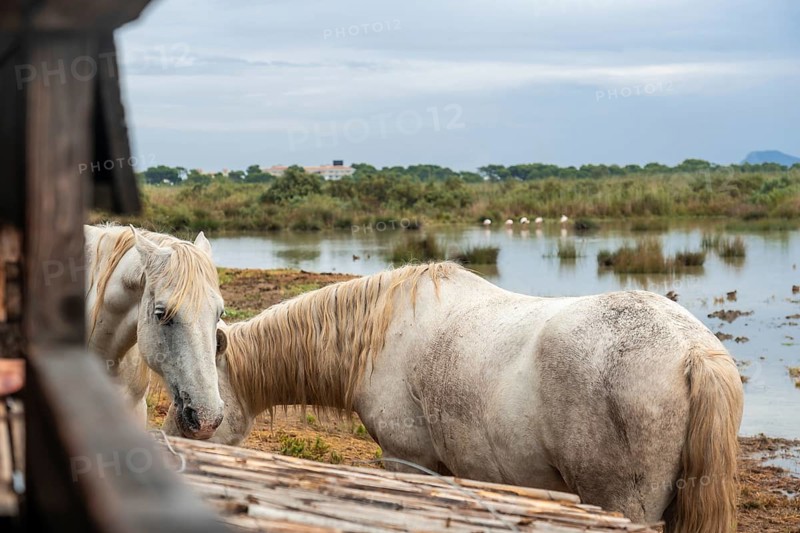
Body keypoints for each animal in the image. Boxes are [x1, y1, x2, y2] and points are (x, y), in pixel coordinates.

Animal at [162, 262, 743, 531]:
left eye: (196, 402)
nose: (175, 441)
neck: (380, 332)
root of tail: (692, 350)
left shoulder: (407, 460)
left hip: (625, 505)